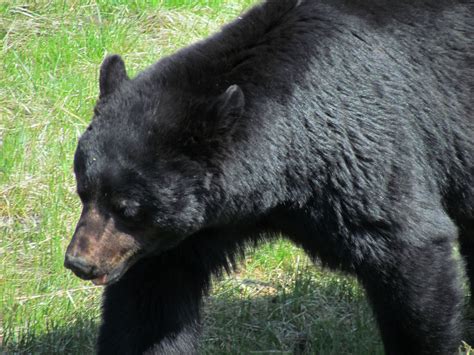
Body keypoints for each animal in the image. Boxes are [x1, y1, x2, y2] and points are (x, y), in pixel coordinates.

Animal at [65, 0, 472, 354]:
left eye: (129, 208)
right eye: (83, 191)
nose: (79, 263)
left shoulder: (362, 149)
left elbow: (406, 244)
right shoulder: (201, 223)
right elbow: (151, 299)